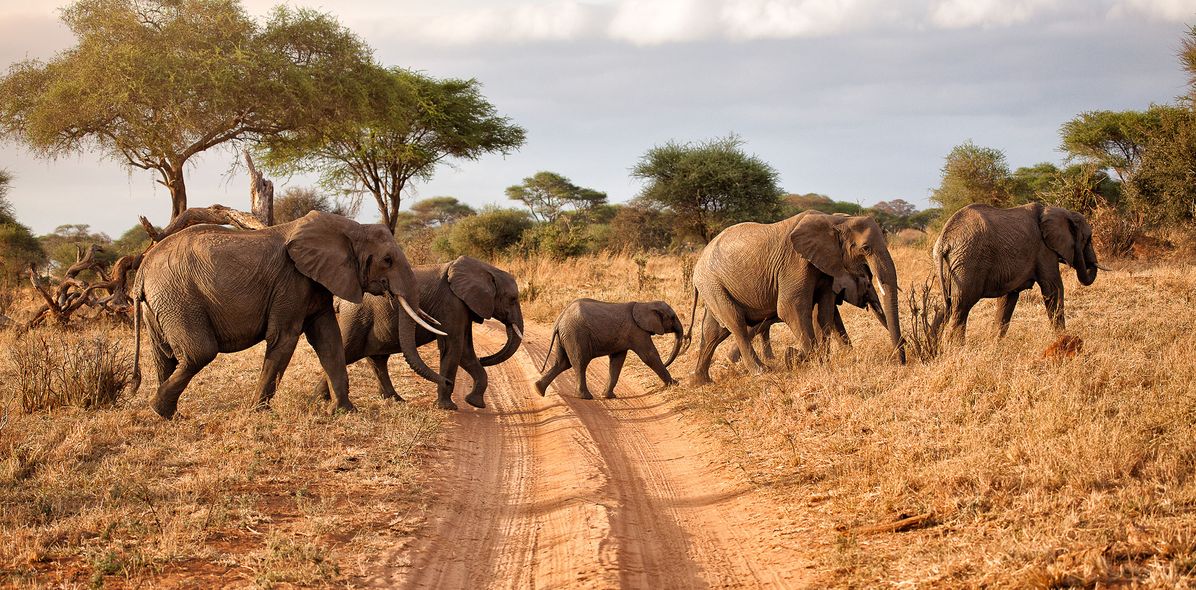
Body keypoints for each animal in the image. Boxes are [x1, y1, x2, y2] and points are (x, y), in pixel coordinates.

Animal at [129, 211, 449, 418]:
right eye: (387, 260)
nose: (447, 384)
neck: (350, 229)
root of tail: (142, 270)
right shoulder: (291, 280)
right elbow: (284, 337)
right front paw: (258, 412)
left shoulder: (317, 282)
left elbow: (329, 340)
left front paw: (345, 411)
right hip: (179, 297)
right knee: (199, 353)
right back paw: (159, 409)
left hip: (160, 304)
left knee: (165, 356)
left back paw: (169, 415)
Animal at [318, 254, 523, 411]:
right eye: (513, 299)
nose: (448, 382)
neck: (485, 269)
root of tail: (340, 300)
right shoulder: (451, 304)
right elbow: (454, 348)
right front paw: (448, 407)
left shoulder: (463, 307)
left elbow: (465, 351)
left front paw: (475, 403)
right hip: (356, 318)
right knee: (346, 352)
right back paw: (321, 400)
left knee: (377, 359)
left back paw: (394, 400)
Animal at [535, 299, 684, 399]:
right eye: (672, 317)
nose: (667, 363)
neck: (646, 303)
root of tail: (559, 319)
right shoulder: (637, 332)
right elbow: (650, 356)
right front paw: (675, 384)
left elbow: (617, 361)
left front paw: (608, 396)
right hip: (576, 335)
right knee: (579, 362)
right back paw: (586, 397)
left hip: (565, 336)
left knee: (562, 363)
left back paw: (538, 390)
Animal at [688, 209, 899, 382]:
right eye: (866, 248)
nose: (901, 359)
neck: (835, 220)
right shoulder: (794, 263)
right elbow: (790, 308)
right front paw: (797, 357)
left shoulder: (825, 266)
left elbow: (824, 311)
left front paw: (820, 359)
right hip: (712, 283)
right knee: (735, 322)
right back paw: (761, 371)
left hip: (714, 287)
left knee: (714, 331)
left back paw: (701, 381)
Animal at [932, 202, 1100, 342]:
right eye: (1088, 239)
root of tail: (944, 241)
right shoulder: (1044, 250)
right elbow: (1053, 289)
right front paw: (1064, 339)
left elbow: (1008, 298)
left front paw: (995, 345)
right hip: (968, 262)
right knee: (961, 307)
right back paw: (956, 348)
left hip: (951, 268)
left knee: (945, 306)